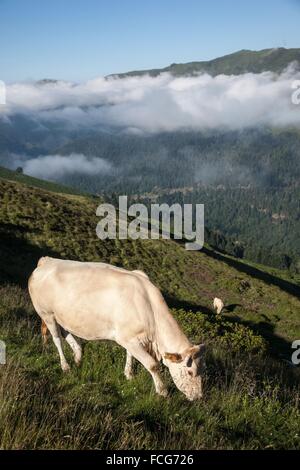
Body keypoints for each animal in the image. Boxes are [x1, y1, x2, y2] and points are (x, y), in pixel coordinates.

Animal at [28, 258, 206, 400]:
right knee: (57, 339)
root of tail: (47, 260)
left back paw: (78, 355)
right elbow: (152, 364)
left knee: (65, 332)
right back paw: (65, 366)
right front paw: (162, 391)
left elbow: (130, 355)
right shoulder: (126, 338)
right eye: (190, 372)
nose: (198, 397)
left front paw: (129, 374)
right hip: (46, 313)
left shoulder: (132, 337)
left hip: (62, 315)